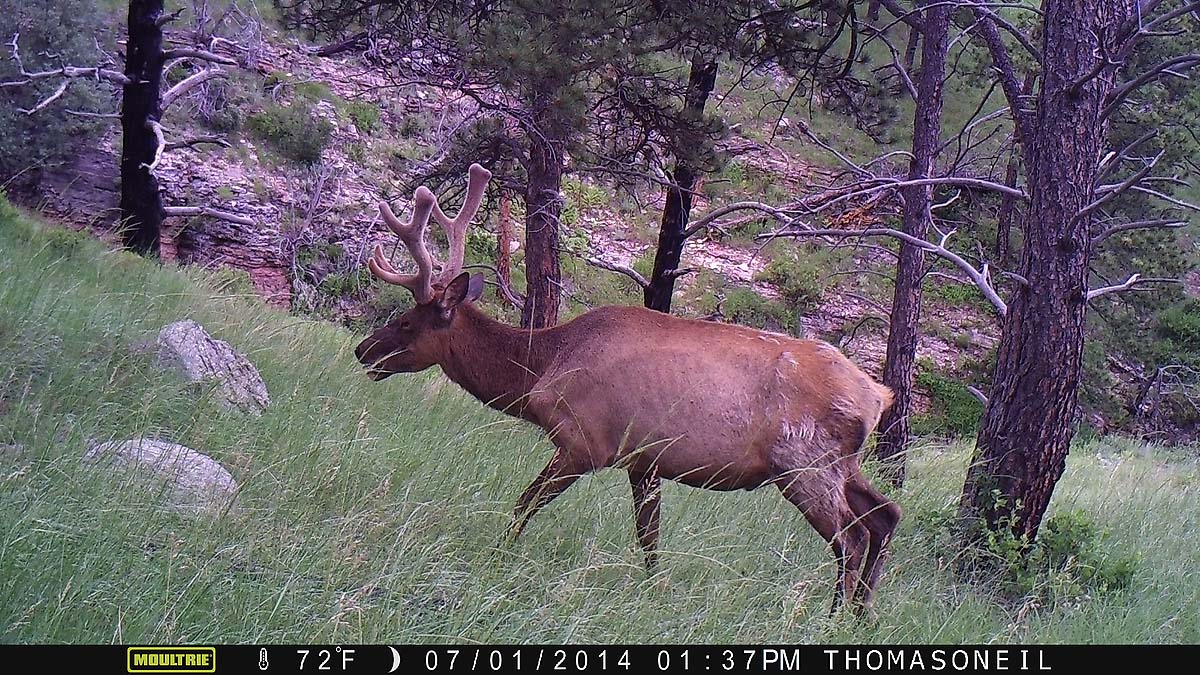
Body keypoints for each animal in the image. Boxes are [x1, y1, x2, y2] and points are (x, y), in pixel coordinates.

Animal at [354, 164, 902, 613]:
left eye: (406, 322)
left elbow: (524, 504)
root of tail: (879, 396)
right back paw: (862, 615)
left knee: (852, 538)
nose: (363, 350)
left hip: (802, 460)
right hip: (840, 464)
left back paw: (831, 618)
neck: (542, 370)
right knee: (886, 514)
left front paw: (497, 557)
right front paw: (653, 590)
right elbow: (649, 537)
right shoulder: (644, 460)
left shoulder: (585, 441)